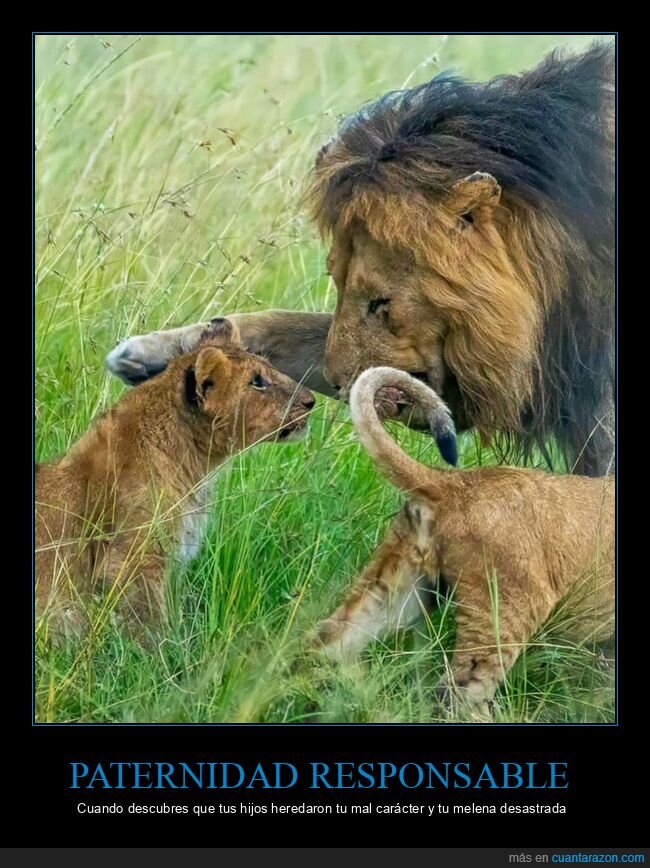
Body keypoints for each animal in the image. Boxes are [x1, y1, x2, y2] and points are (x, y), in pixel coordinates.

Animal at [36, 318, 315, 637]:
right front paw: (168, 648)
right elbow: (150, 626)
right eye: (257, 381)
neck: (199, 466)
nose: (311, 401)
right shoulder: (132, 560)